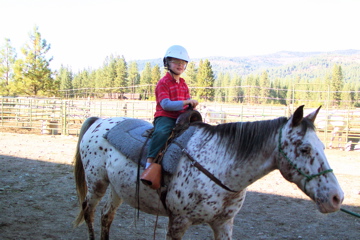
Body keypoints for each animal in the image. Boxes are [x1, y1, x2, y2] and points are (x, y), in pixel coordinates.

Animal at [72, 105, 344, 240]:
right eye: (305, 148)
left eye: (322, 146)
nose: (337, 198)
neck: (218, 165)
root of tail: (99, 121)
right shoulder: (177, 223)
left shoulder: (224, 224)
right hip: (97, 183)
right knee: (89, 210)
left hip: (118, 188)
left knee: (106, 216)